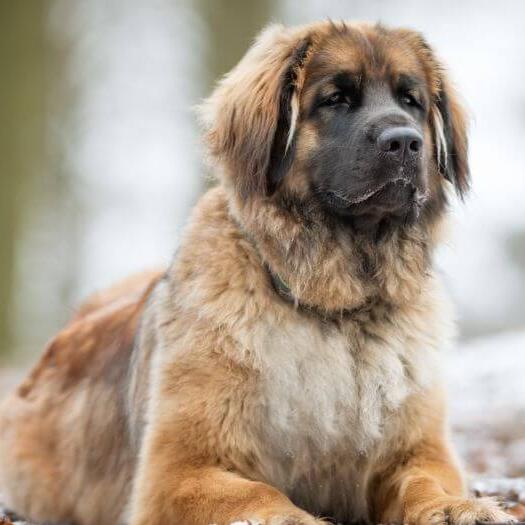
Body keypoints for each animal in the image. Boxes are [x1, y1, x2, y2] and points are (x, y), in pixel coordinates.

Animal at [0, 19, 512, 524]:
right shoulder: (181, 469)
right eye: (335, 99)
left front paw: (456, 507)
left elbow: (423, 481)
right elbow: (259, 496)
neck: (336, 310)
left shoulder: (418, 450)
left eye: (411, 101)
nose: (405, 141)